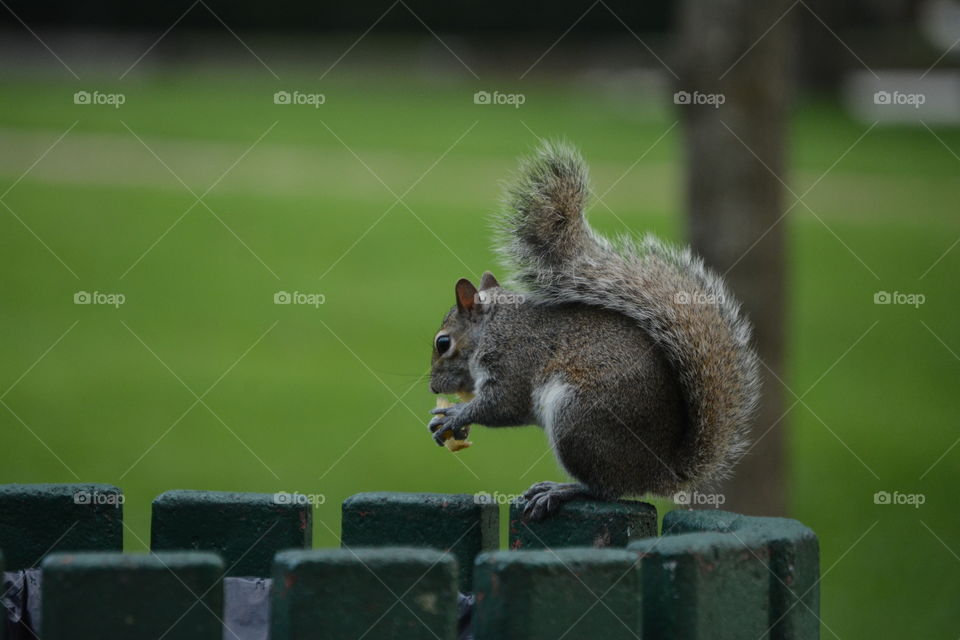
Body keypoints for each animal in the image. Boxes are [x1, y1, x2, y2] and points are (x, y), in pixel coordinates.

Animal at [428, 140, 756, 520]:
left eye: (443, 343)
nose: (433, 387)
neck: (494, 326)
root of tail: (658, 471)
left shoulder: (514, 359)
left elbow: (503, 404)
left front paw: (455, 415)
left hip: (579, 419)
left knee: (606, 489)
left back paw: (562, 489)